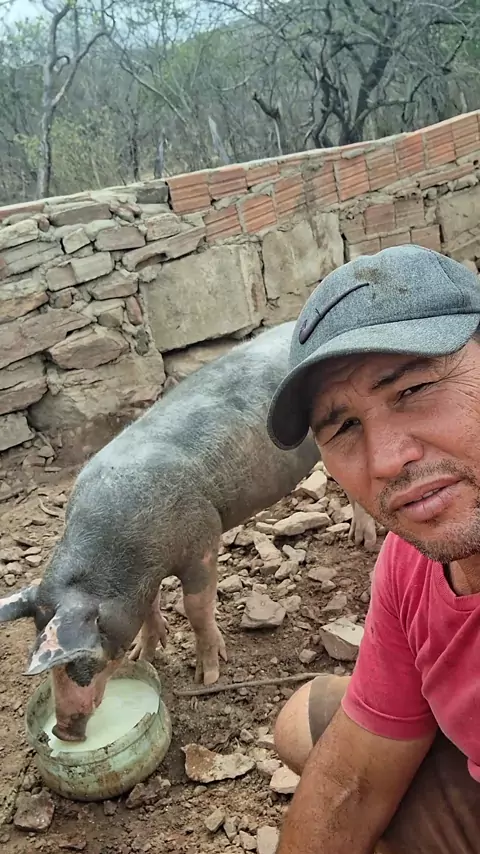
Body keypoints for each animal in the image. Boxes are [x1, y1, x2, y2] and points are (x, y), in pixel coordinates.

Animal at [0, 321, 376, 741]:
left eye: (81, 657)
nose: (64, 731)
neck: (129, 561)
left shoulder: (203, 540)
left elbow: (196, 608)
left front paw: (207, 676)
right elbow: (149, 610)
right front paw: (145, 655)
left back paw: (365, 543)